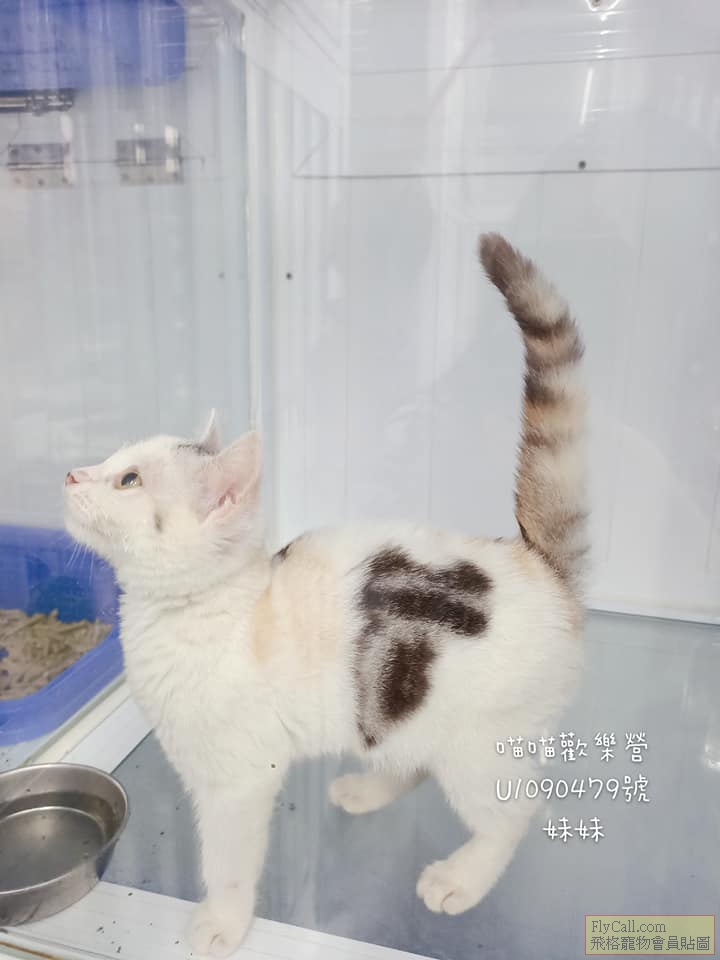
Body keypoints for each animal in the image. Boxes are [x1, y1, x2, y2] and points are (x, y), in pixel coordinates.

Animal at [64, 233, 587, 958]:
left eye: (129, 481)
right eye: (114, 463)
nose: (71, 474)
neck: (221, 608)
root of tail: (537, 563)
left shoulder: (239, 777)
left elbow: (227, 860)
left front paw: (222, 922)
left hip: (480, 740)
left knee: (514, 811)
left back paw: (462, 878)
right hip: (402, 711)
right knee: (411, 758)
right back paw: (368, 790)